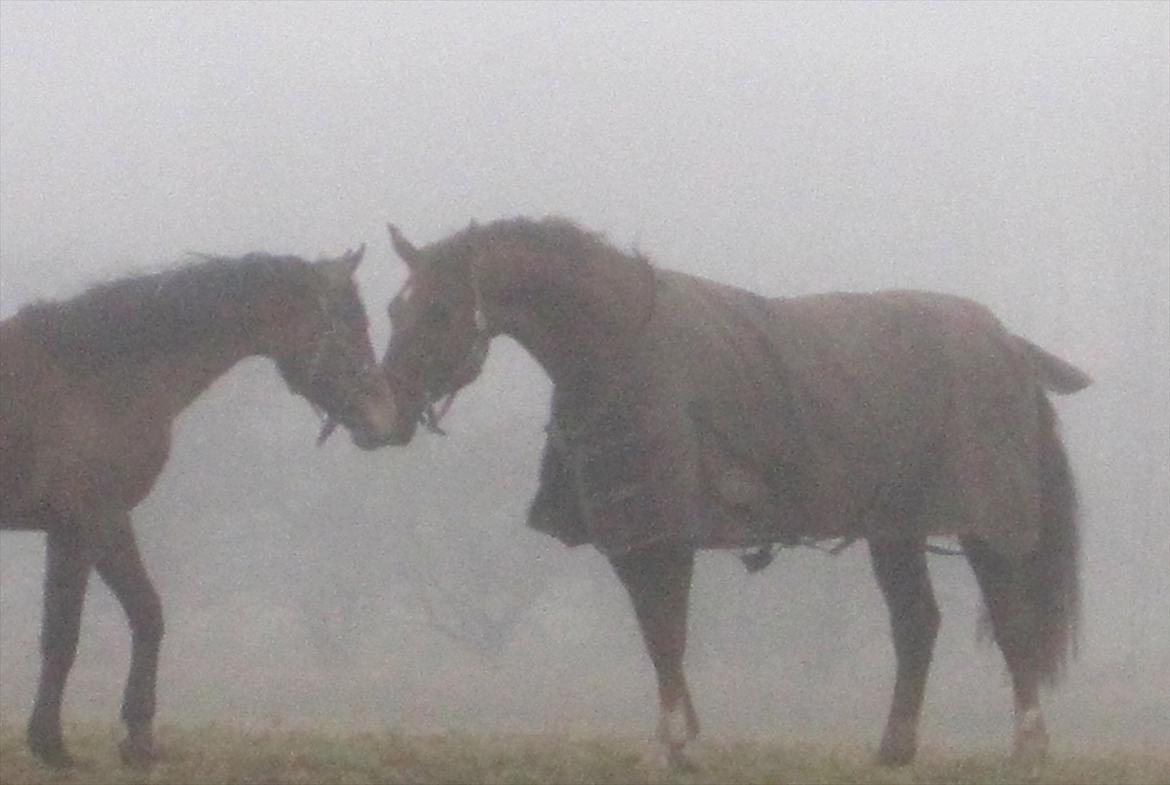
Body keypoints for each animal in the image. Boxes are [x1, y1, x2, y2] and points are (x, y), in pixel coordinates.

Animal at [0, 245, 397, 767]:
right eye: (349, 323)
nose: (384, 419)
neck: (95, 378)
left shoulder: (93, 526)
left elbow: (132, 618)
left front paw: (129, 741)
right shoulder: (89, 523)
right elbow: (73, 633)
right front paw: (62, 745)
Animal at [379, 217, 1090, 772]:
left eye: (440, 309)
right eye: (393, 308)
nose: (382, 416)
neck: (620, 347)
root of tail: (1008, 344)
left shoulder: (663, 530)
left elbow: (667, 633)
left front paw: (671, 746)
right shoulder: (631, 534)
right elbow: (658, 634)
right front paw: (682, 742)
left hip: (987, 526)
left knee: (1012, 623)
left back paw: (1028, 749)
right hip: (895, 527)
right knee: (916, 624)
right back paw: (894, 750)